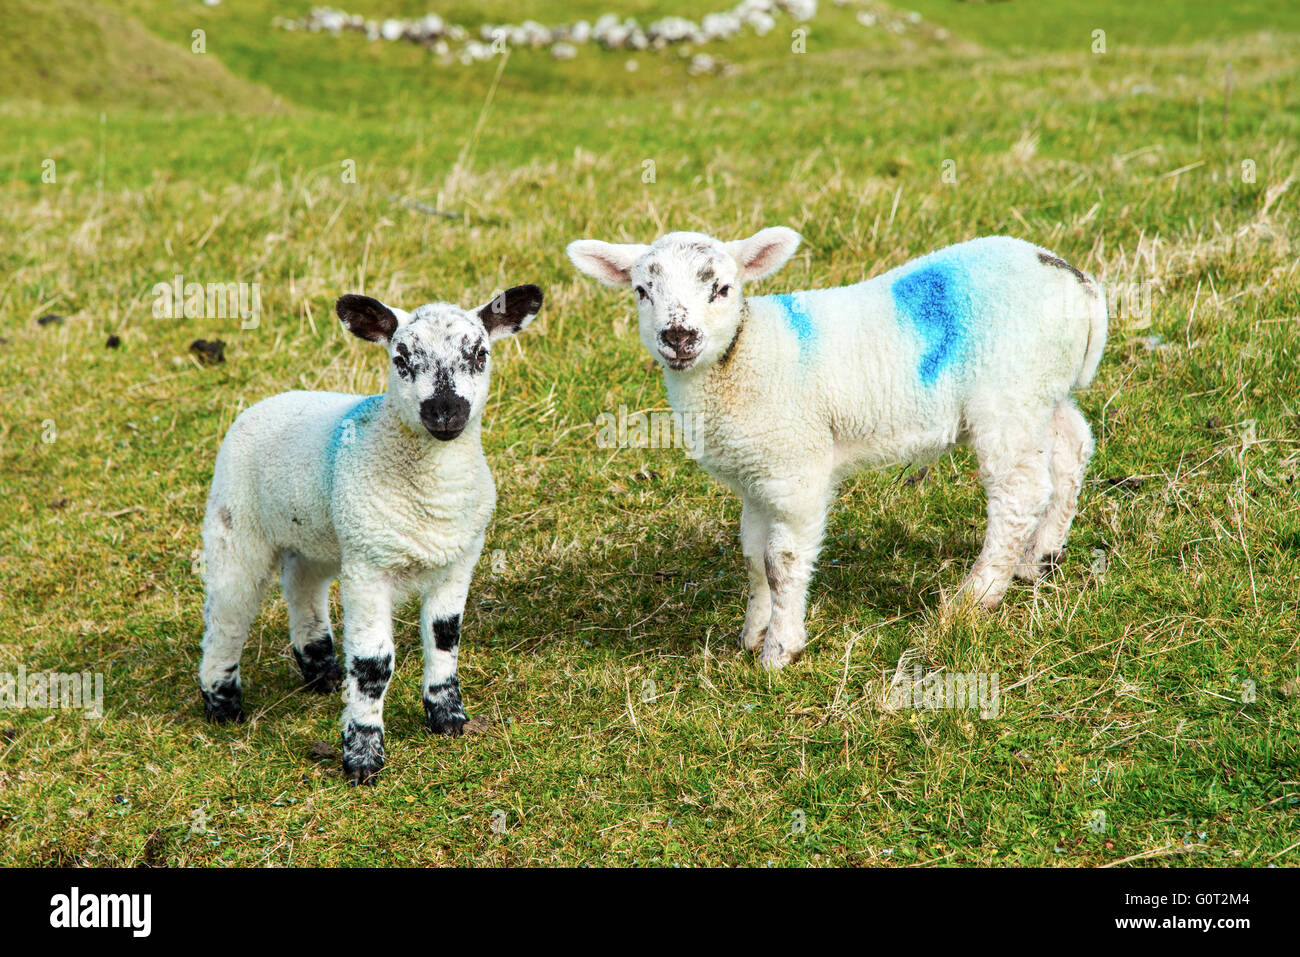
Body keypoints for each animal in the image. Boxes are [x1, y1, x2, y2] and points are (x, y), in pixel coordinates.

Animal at [195, 280, 540, 780]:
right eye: (401, 358)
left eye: (480, 354)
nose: (445, 412)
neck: (431, 499)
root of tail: (267, 401)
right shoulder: (369, 567)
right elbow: (374, 665)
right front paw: (362, 756)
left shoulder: (459, 559)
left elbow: (445, 637)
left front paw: (448, 718)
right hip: (236, 524)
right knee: (227, 614)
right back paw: (223, 705)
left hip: (318, 534)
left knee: (302, 584)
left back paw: (321, 671)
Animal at [569, 227, 1107, 670]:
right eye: (642, 291)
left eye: (721, 289)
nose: (678, 337)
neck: (743, 356)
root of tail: (1077, 281)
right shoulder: (754, 476)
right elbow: (752, 556)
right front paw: (752, 633)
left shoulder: (794, 468)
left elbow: (781, 562)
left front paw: (779, 651)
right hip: (1042, 390)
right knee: (1072, 448)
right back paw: (1039, 558)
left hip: (1008, 393)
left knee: (1019, 492)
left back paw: (974, 598)